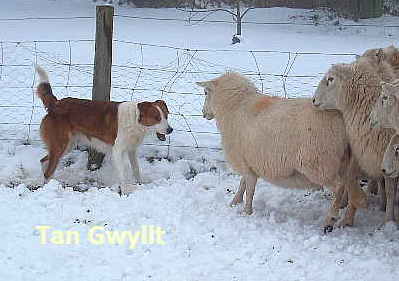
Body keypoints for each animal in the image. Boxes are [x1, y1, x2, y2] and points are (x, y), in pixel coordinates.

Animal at [34, 65, 172, 194]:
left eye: (166, 116)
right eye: (157, 118)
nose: (170, 130)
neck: (135, 120)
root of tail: (56, 104)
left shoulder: (131, 150)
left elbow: (136, 169)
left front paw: (140, 184)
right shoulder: (117, 151)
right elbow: (122, 175)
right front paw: (125, 192)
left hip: (67, 145)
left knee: (43, 161)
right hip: (61, 145)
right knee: (48, 170)